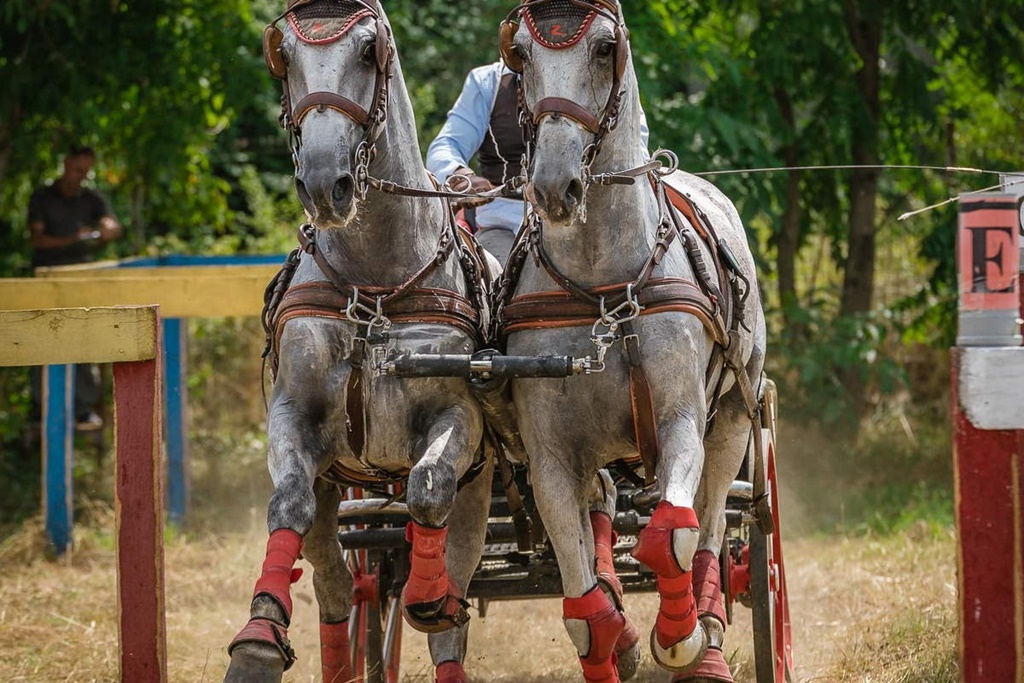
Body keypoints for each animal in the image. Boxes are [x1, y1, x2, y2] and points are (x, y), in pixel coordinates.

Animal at [225, 2, 495, 679]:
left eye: (369, 51)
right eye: (286, 57)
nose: (326, 184)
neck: (375, 283)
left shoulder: (459, 418)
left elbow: (428, 488)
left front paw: (426, 595)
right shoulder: (295, 415)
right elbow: (288, 506)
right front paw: (259, 633)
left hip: (481, 493)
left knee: (451, 606)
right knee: (337, 589)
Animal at [495, 1, 770, 683]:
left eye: (603, 48)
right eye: (522, 55)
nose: (555, 185)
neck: (601, 285)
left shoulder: (679, 418)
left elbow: (669, 532)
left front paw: (680, 638)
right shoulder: (551, 455)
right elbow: (582, 609)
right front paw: (614, 634)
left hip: (734, 413)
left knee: (713, 522)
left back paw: (710, 636)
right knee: (604, 508)